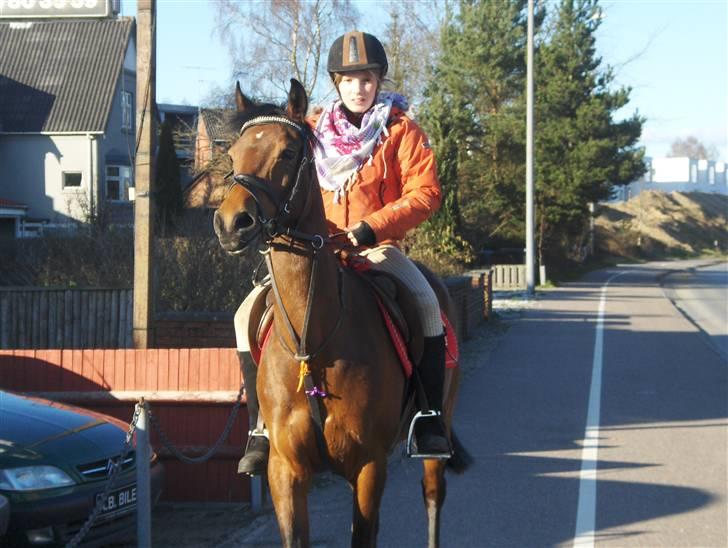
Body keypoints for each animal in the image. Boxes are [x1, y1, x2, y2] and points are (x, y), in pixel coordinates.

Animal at [213, 78, 470, 548]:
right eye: (235, 154)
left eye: (288, 153)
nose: (231, 223)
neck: (312, 342)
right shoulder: (286, 472)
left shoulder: (368, 467)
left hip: (435, 439)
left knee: (432, 498)